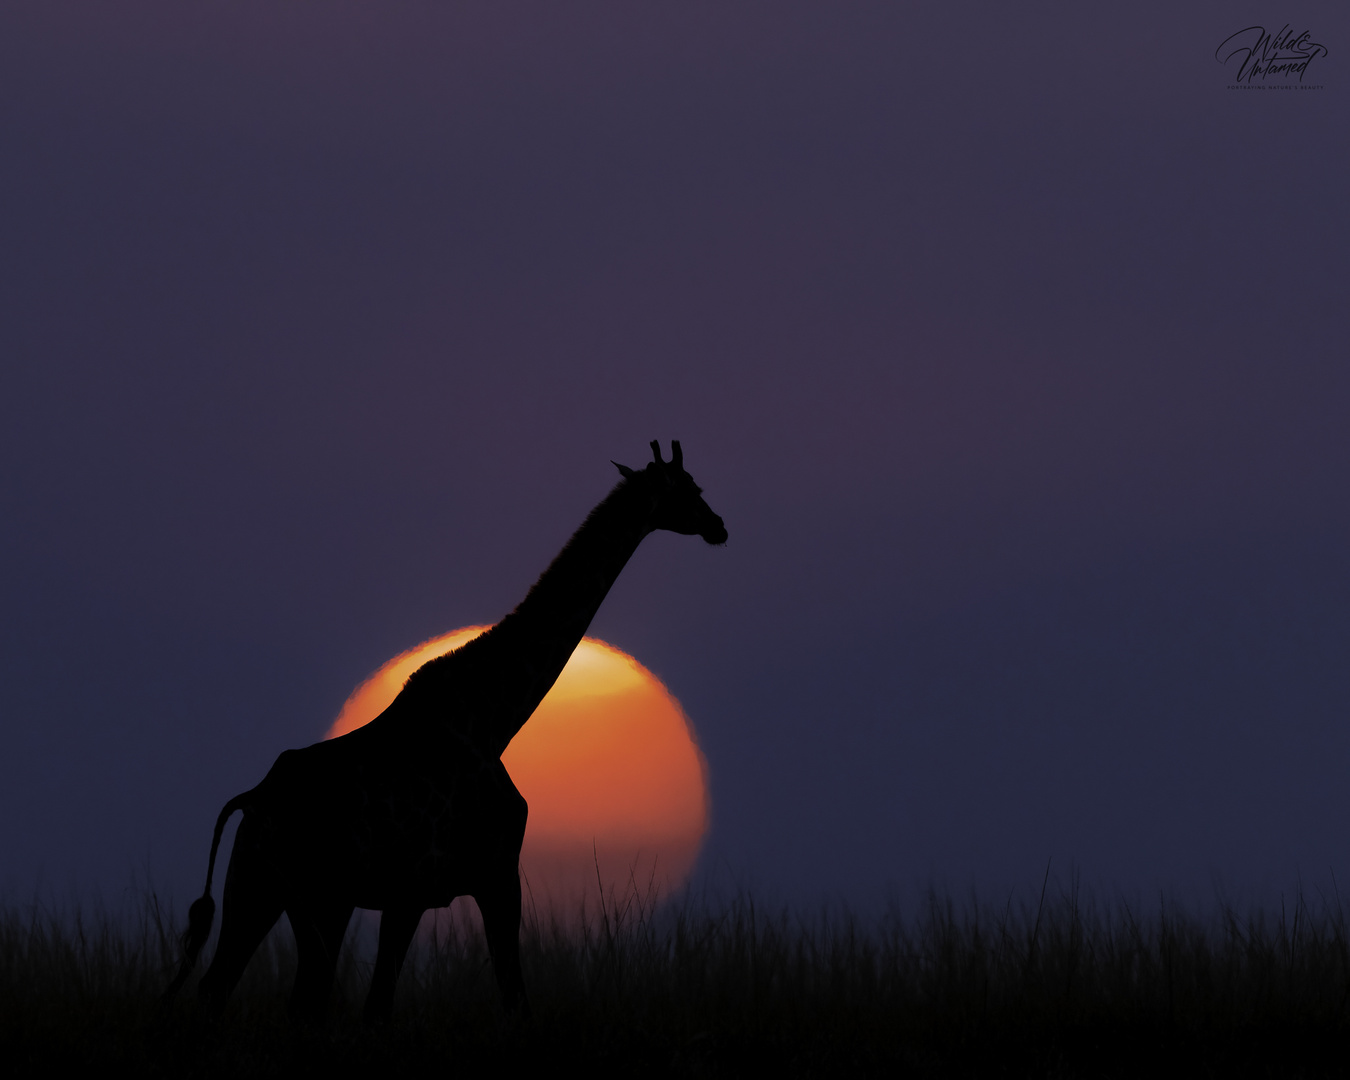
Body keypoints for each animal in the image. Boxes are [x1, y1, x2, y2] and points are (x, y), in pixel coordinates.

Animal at [164, 440, 729, 1020]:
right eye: (689, 489)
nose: (719, 525)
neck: (494, 720)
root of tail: (253, 799)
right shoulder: (482, 876)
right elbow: (505, 1000)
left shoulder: (420, 892)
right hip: (300, 894)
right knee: (260, 993)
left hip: (277, 891)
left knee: (242, 989)